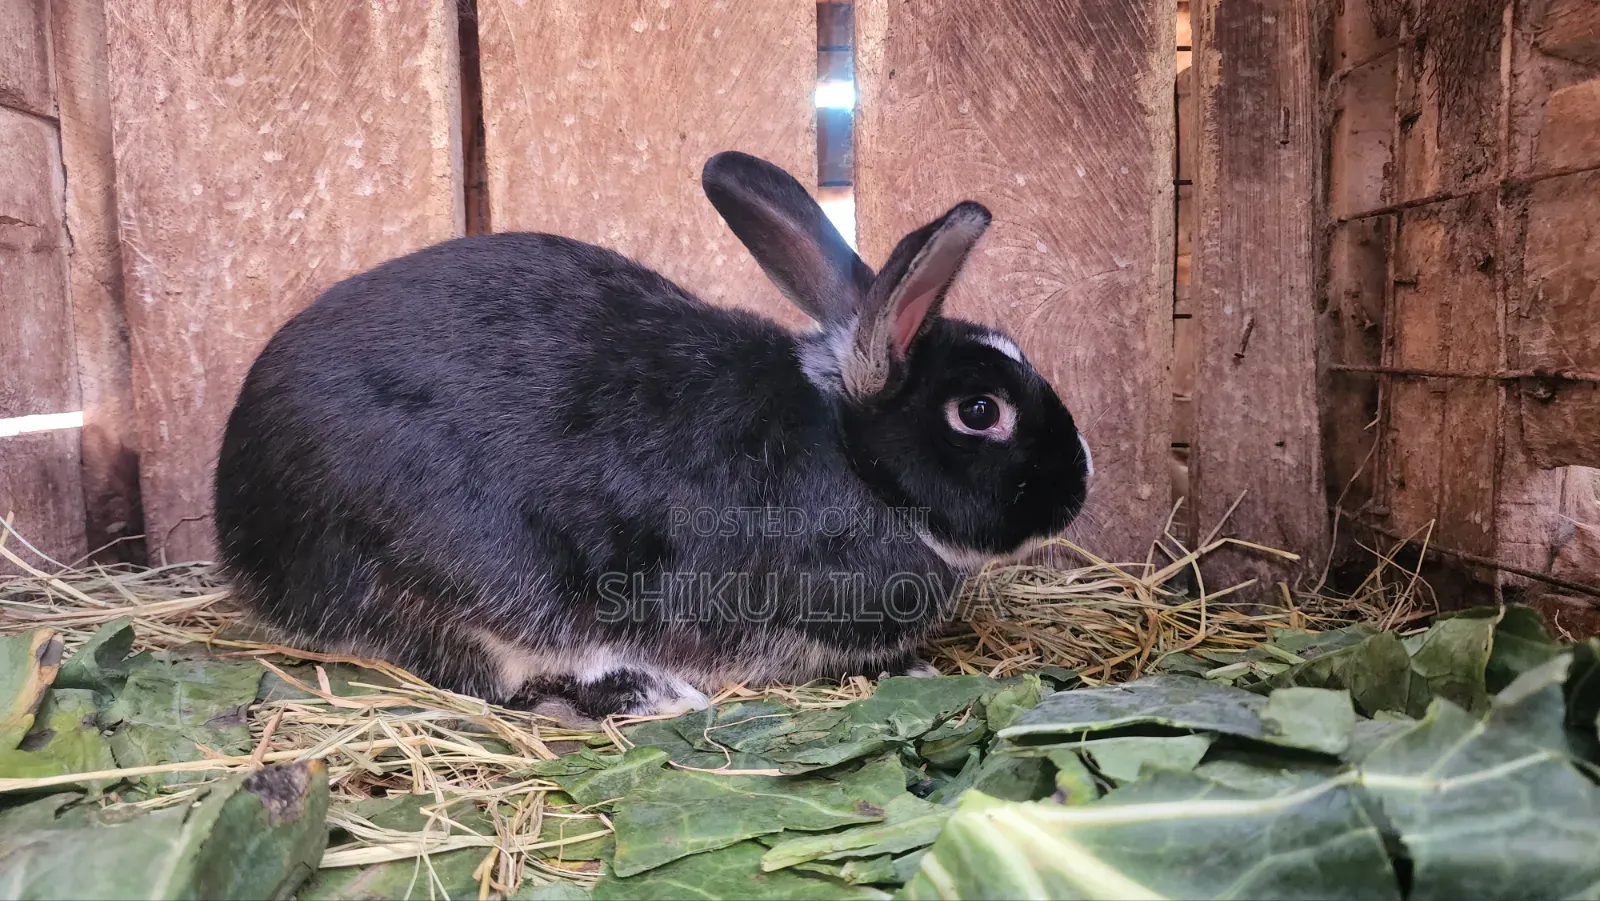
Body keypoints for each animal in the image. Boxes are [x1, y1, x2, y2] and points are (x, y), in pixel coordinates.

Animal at [213, 151, 1092, 722]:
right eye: (979, 411)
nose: (1081, 482)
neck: (851, 456)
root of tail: (242, 531)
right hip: (466, 581)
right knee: (494, 674)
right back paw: (650, 695)